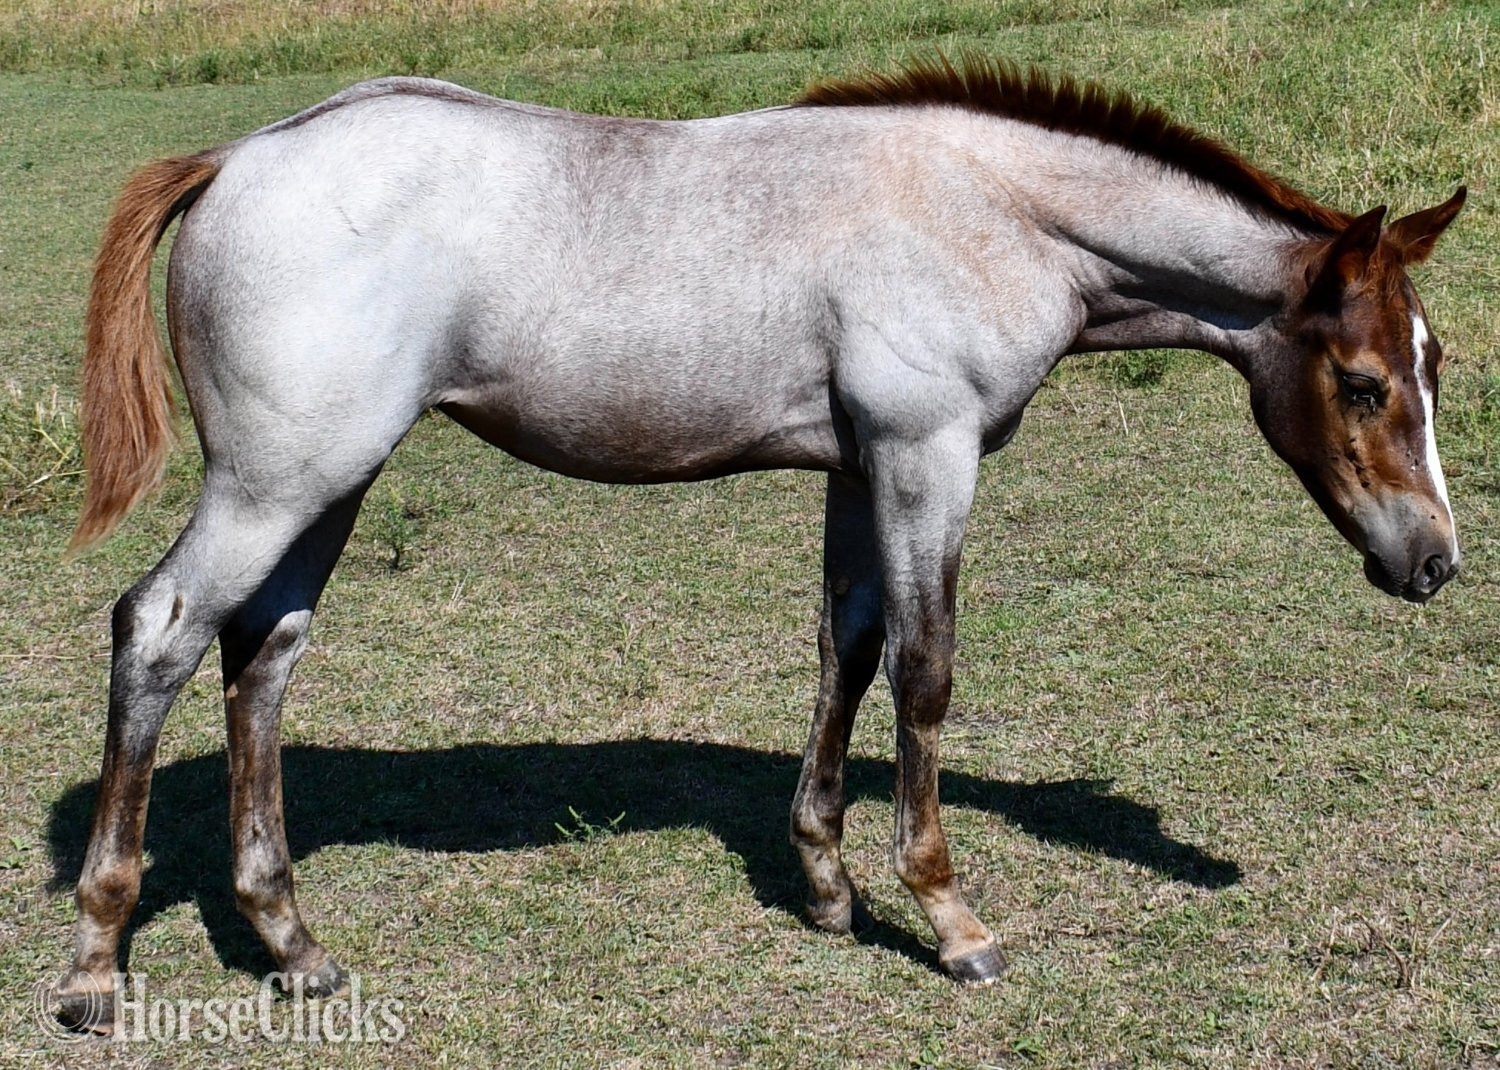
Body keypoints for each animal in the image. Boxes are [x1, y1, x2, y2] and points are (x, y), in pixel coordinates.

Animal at [53, 55, 1464, 1025]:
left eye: (1433, 360)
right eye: (1360, 383)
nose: (1434, 560)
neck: (988, 208)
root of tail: (236, 156)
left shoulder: (859, 466)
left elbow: (848, 649)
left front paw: (830, 884)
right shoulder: (926, 454)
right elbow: (926, 668)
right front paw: (949, 915)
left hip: (326, 482)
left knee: (263, 653)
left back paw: (291, 944)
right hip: (278, 478)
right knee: (160, 630)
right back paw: (96, 959)